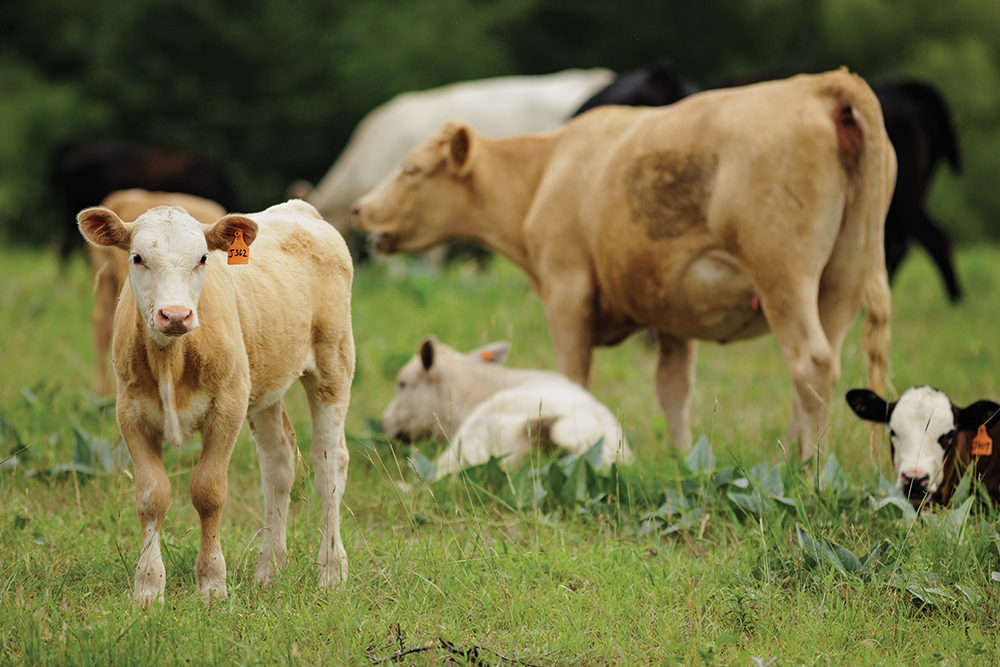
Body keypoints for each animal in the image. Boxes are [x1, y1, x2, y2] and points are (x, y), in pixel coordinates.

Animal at [353, 69, 896, 461]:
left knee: (810, 361)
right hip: (842, 282)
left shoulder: (567, 292)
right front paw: (681, 460)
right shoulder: (672, 306)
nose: (360, 208)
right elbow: (674, 390)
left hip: (784, 276)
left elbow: (574, 377)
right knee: (821, 366)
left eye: (411, 169)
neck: (546, 173)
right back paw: (795, 459)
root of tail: (822, 84)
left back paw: (810, 470)